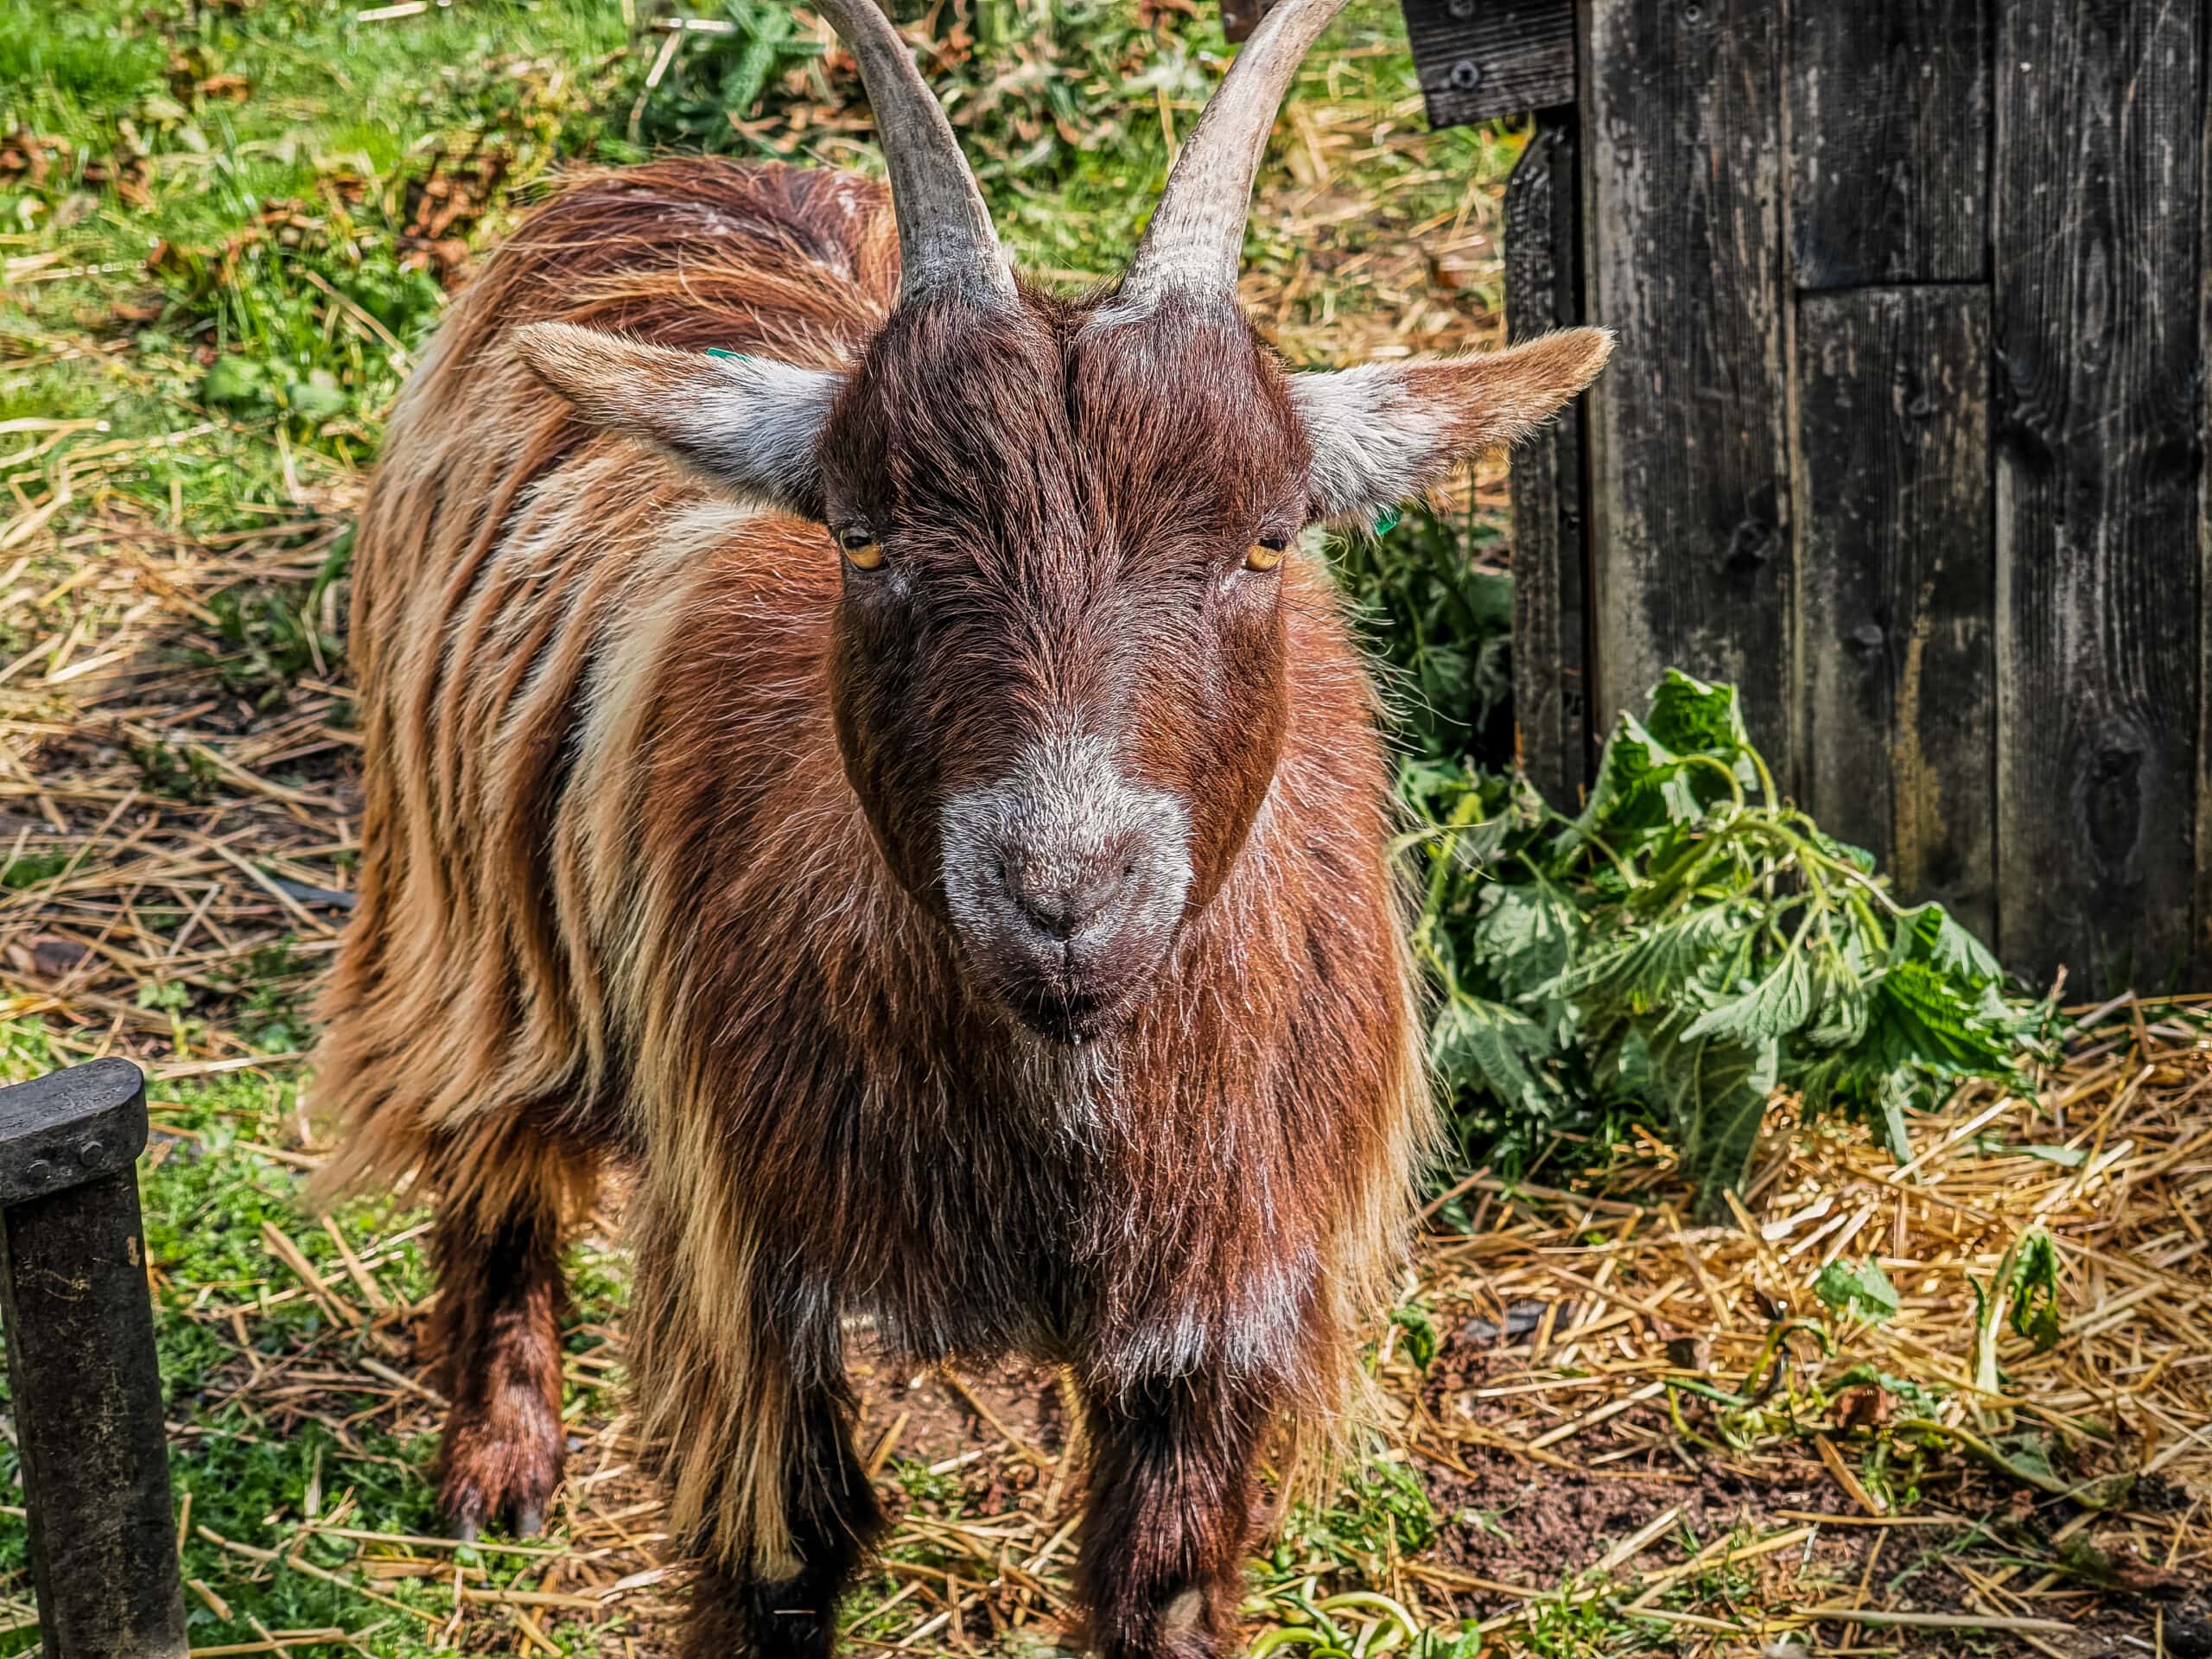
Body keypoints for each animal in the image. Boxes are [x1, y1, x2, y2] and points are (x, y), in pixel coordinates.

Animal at [312, 0, 1610, 1650]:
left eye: (1268, 538)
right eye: (862, 536)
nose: (1064, 902)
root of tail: (683, 167)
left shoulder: (1222, 1303)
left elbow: (1159, 1585)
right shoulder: (754, 1267)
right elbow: (786, 1561)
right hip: (466, 911)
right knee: (491, 1148)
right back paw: (499, 1460)